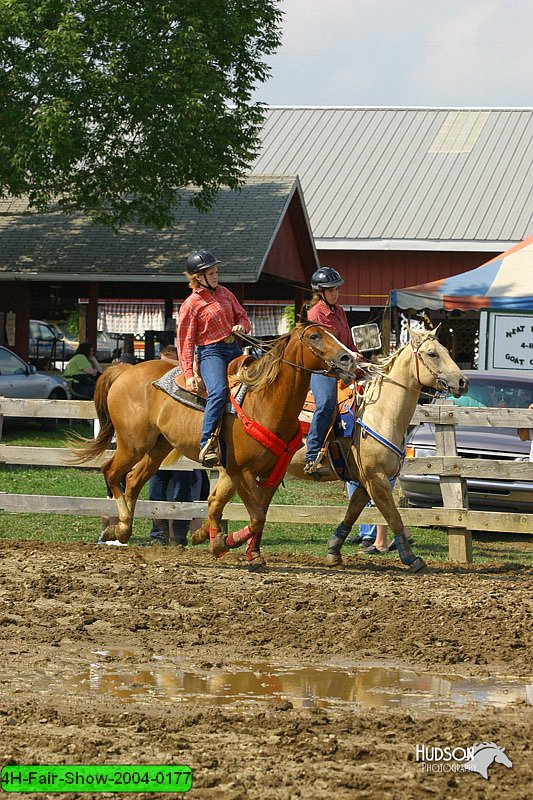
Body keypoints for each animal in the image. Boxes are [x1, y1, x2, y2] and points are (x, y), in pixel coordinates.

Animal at [70, 322, 360, 564]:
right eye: (314, 336)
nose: (349, 358)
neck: (264, 402)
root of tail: (125, 371)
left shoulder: (268, 474)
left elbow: (240, 509)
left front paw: (233, 547)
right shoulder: (241, 471)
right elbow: (254, 516)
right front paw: (222, 542)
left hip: (158, 447)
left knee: (132, 480)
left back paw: (122, 529)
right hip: (132, 444)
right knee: (111, 472)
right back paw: (119, 527)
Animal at [286, 328, 466, 572]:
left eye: (446, 350)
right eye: (432, 353)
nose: (462, 381)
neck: (381, 413)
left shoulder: (365, 482)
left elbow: (352, 513)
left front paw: (334, 550)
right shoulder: (376, 478)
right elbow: (394, 516)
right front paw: (411, 558)